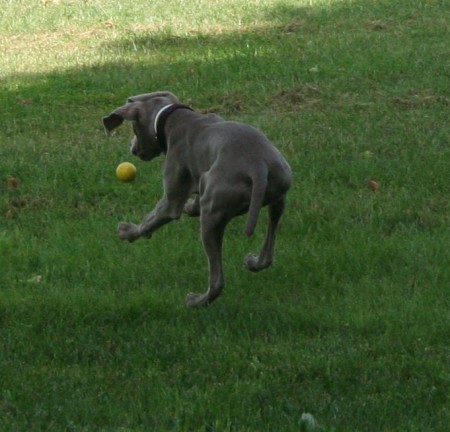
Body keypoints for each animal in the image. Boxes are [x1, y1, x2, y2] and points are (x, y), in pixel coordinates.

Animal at [103, 91, 292, 308]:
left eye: (134, 128)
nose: (132, 149)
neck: (173, 118)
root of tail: (258, 166)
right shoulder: (200, 174)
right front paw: (190, 206)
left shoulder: (171, 198)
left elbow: (151, 219)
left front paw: (128, 232)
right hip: (279, 195)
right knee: (268, 250)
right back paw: (254, 262)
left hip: (212, 214)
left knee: (217, 279)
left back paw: (198, 301)